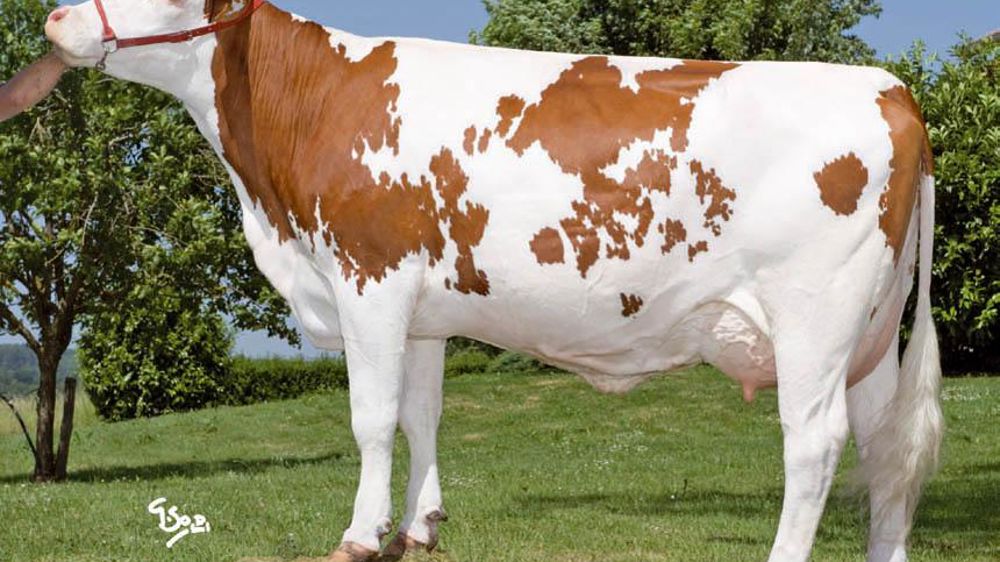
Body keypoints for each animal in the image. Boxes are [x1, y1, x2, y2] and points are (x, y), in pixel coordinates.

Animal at [44, 2, 943, 561]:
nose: (54, 16)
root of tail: (890, 88)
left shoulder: (369, 279)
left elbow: (372, 419)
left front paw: (361, 534)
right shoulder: (421, 309)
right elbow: (421, 416)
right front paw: (419, 527)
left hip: (814, 320)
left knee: (816, 443)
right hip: (870, 334)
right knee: (884, 447)